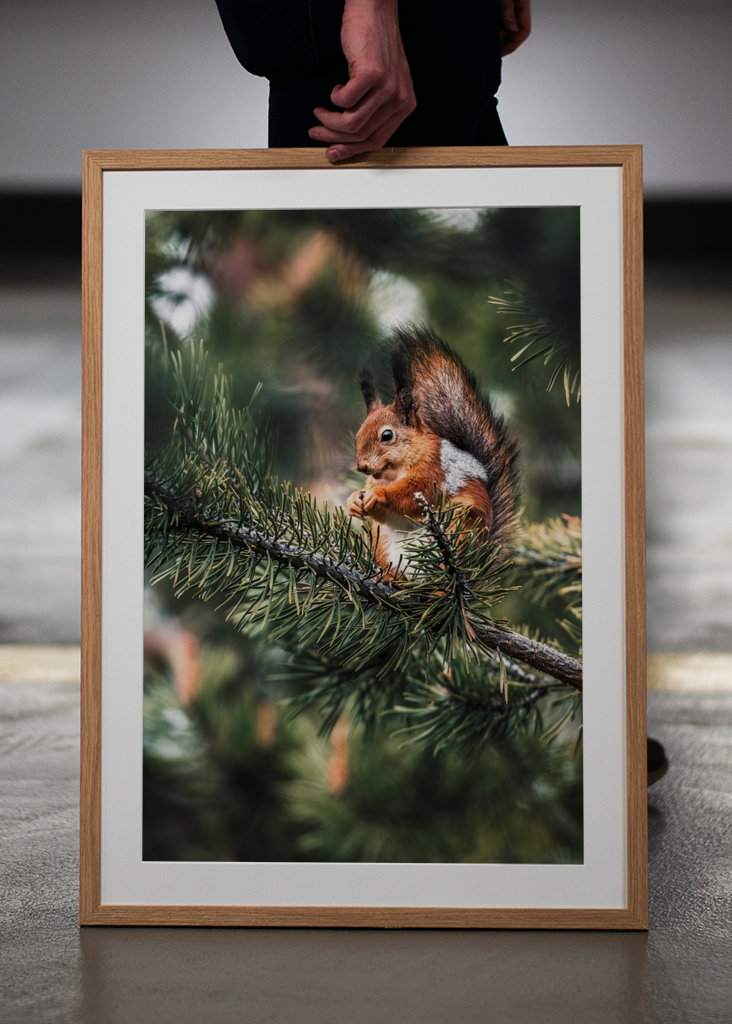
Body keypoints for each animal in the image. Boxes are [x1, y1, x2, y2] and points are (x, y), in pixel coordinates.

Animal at [346, 324, 519, 573]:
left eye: (387, 435)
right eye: (358, 434)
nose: (362, 466)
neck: (394, 473)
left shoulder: (433, 470)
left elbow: (411, 494)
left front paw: (379, 494)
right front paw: (353, 500)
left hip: (460, 528)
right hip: (383, 544)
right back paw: (388, 578)